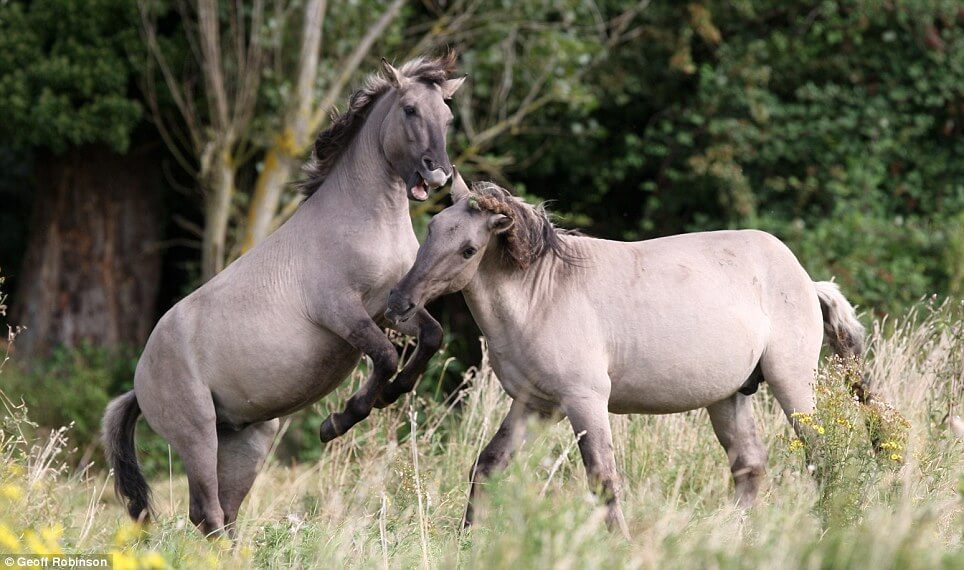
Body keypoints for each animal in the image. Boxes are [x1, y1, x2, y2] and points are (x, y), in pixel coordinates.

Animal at [102, 54, 466, 532]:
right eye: (409, 109)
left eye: (447, 115)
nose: (437, 172)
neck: (365, 220)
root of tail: (138, 382)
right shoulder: (342, 313)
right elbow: (386, 356)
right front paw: (338, 421)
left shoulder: (392, 306)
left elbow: (432, 337)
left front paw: (390, 394)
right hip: (197, 435)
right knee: (208, 511)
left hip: (248, 439)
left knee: (218, 513)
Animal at [388, 173, 868, 532]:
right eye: (431, 229)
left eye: (468, 249)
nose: (399, 303)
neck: (541, 294)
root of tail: (806, 280)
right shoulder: (535, 405)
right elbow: (487, 466)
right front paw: (467, 540)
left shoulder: (584, 402)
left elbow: (603, 478)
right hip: (728, 397)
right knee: (749, 467)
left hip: (792, 385)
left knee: (821, 457)